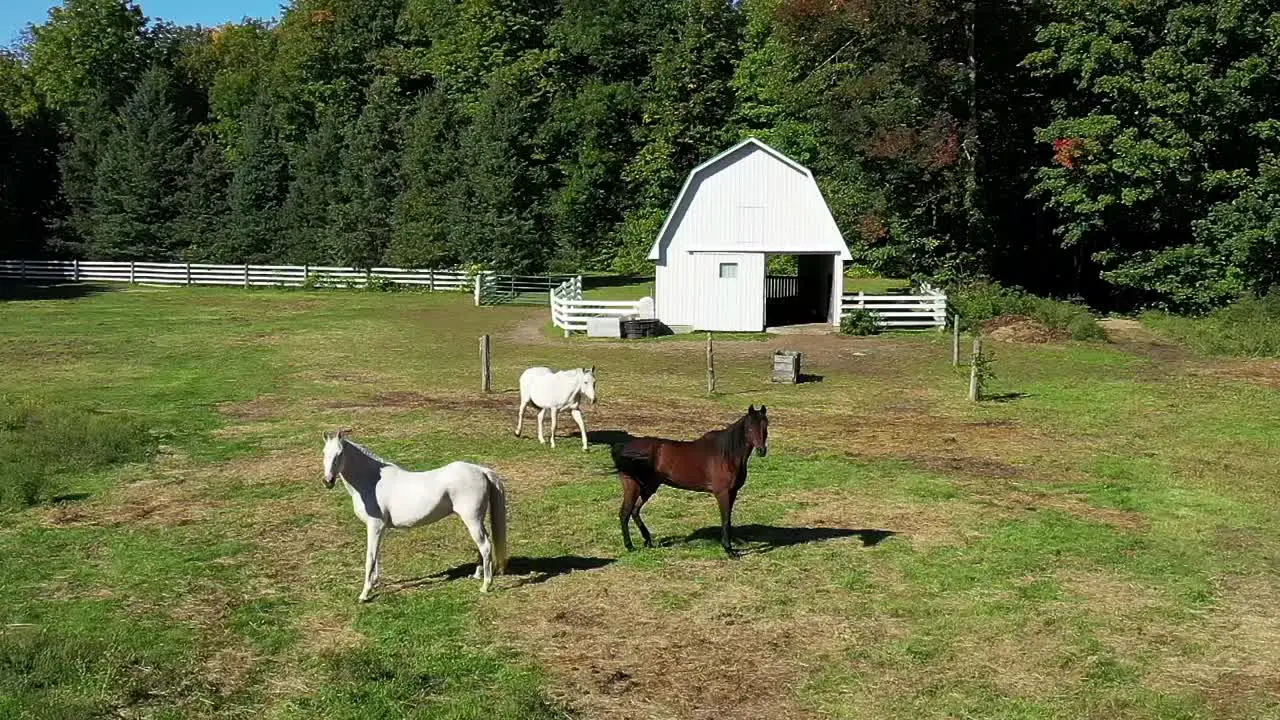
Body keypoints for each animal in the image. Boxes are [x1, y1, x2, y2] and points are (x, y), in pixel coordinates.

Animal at [320, 425, 509, 599]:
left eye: (340, 453)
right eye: (324, 453)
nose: (328, 481)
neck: (371, 481)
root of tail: (481, 470)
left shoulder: (374, 526)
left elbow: (370, 558)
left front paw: (365, 594)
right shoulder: (380, 528)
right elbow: (376, 556)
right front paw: (374, 583)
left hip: (472, 520)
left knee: (485, 546)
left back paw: (485, 585)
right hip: (475, 521)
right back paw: (477, 575)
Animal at [609, 404, 768, 556]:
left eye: (765, 426)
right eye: (749, 428)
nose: (761, 451)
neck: (726, 454)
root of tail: (624, 448)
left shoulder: (732, 492)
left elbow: (728, 519)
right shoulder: (722, 493)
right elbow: (725, 519)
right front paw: (728, 549)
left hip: (648, 487)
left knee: (635, 511)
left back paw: (648, 540)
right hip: (633, 487)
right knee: (625, 513)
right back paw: (629, 546)